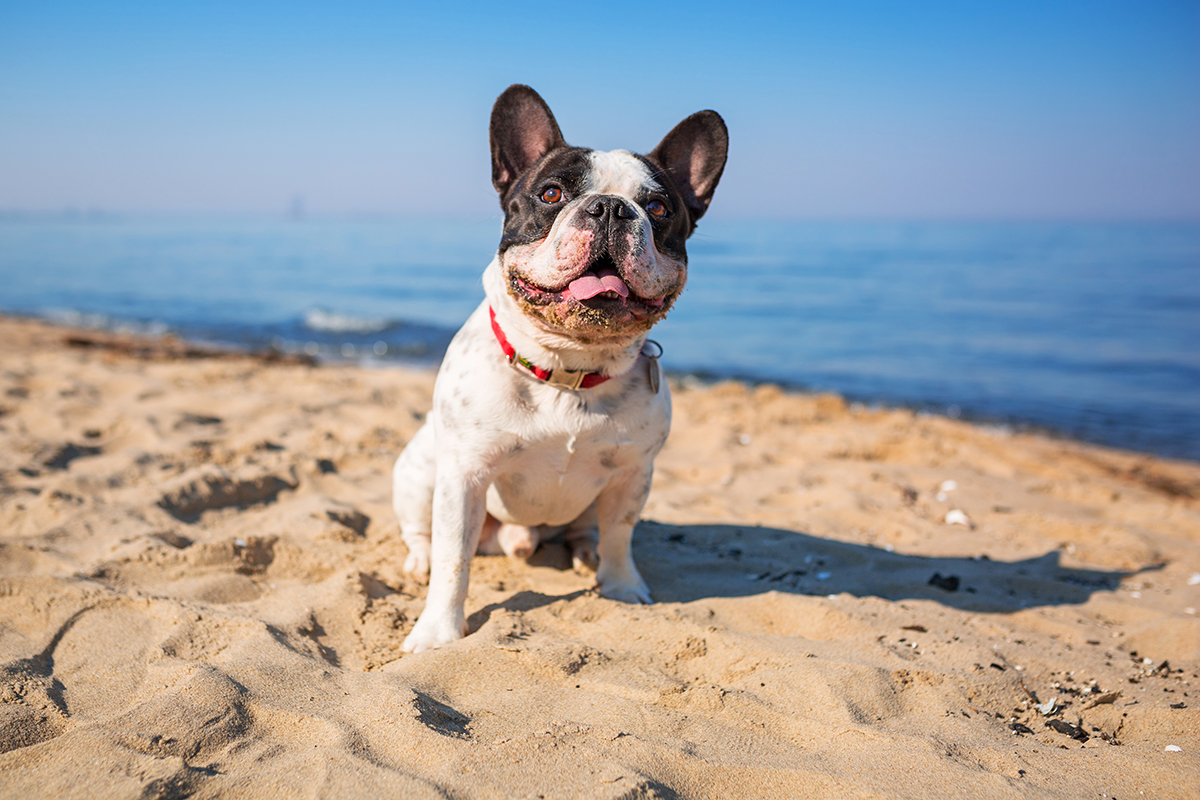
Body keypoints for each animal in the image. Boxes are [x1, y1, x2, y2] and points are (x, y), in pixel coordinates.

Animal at [398, 86, 724, 652]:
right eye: (551, 195)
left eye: (658, 208)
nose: (611, 208)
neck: (570, 368)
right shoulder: (463, 476)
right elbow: (453, 559)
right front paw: (438, 632)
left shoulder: (632, 475)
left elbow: (621, 535)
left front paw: (621, 586)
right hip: (419, 470)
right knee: (422, 533)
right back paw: (418, 561)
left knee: (589, 529)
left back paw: (584, 552)